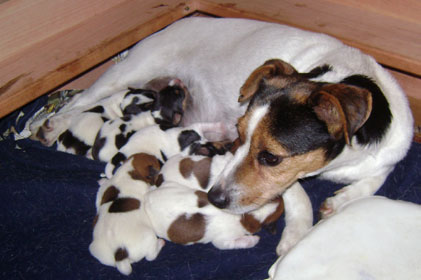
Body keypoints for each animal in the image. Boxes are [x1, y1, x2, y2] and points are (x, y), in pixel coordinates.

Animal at [31, 16, 412, 255]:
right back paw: (50, 126)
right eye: (239, 137)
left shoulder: (390, 153)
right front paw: (296, 235)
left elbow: (378, 177)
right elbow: (297, 194)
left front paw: (344, 198)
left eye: (270, 157)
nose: (213, 198)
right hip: (128, 71)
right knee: (80, 100)